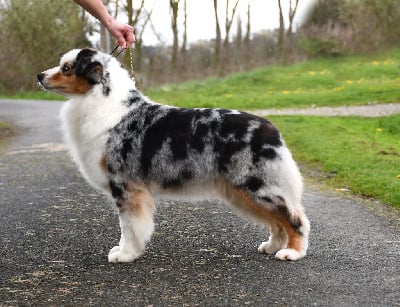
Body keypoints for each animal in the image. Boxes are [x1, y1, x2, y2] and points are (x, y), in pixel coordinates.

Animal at [36, 48, 310, 264]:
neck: (101, 101)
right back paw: (273, 246)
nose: (39, 76)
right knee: (277, 219)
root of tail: (270, 128)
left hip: (253, 185)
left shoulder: (125, 185)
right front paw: (124, 250)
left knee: (293, 216)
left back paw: (292, 252)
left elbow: (129, 225)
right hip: (242, 191)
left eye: (67, 68)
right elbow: (127, 226)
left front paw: (126, 254)